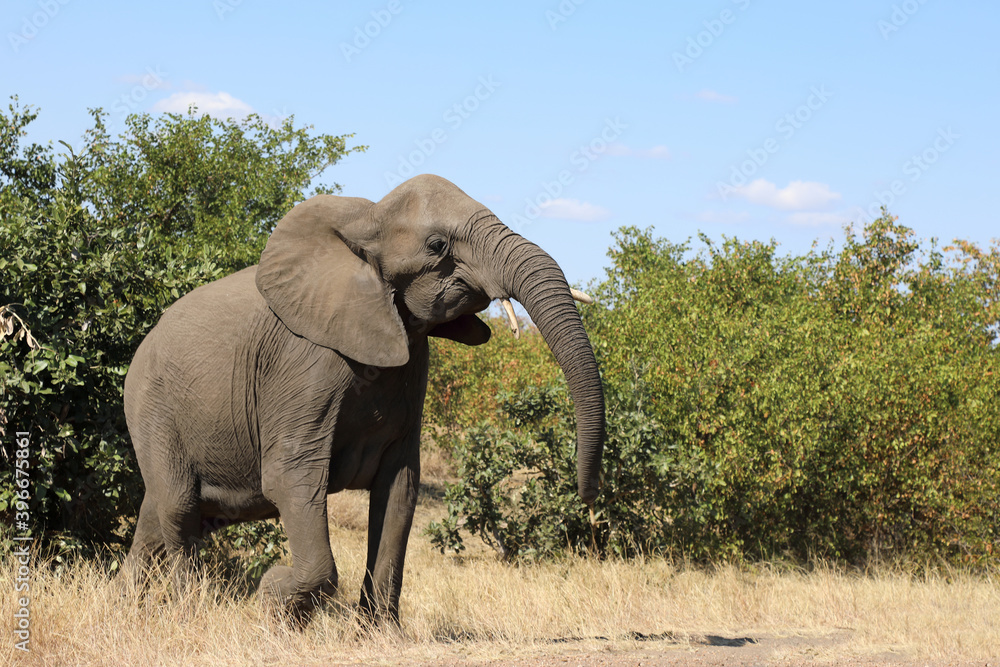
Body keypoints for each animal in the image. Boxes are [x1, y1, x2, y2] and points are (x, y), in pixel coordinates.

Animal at [120, 174, 605, 625]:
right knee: (179, 510)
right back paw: (189, 611)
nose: (587, 499)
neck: (369, 218)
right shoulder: (302, 363)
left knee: (156, 517)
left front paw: (380, 633)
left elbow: (399, 486)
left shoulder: (411, 358)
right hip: (151, 407)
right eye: (437, 245)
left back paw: (127, 605)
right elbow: (290, 478)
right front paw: (272, 594)